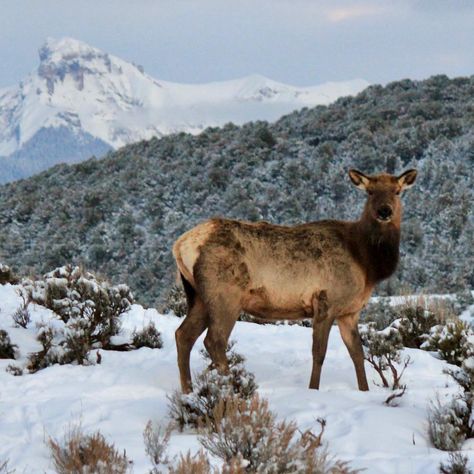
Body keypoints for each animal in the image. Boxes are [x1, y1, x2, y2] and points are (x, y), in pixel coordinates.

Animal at [172, 169, 416, 392]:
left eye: (397, 191)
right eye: (370, 191)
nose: (384, 211)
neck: (367, 264)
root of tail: (180, 245)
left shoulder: (349, 311)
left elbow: (358, 353)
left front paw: (364, 391)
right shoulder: (326, 302)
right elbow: (319, 353)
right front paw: (313, 389)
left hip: (198, 296)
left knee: (183, 335)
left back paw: (188, 391)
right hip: (225, 295)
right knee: (214, 340)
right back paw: (231, 389)